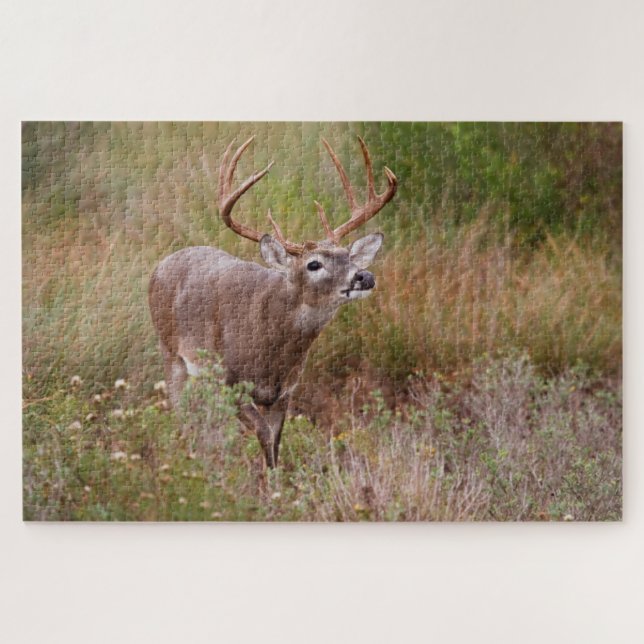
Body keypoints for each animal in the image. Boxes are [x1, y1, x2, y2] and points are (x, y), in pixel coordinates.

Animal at [148, 135, 397, 467]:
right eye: (314, 264)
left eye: (348, 256)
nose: (364, 276)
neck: (270, 348)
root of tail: (162, 263)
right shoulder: (231, 383)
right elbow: (264, 435)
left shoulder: (285, 391)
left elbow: (275, 443)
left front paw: (276, 479)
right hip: (170, 350)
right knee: (180, 411)